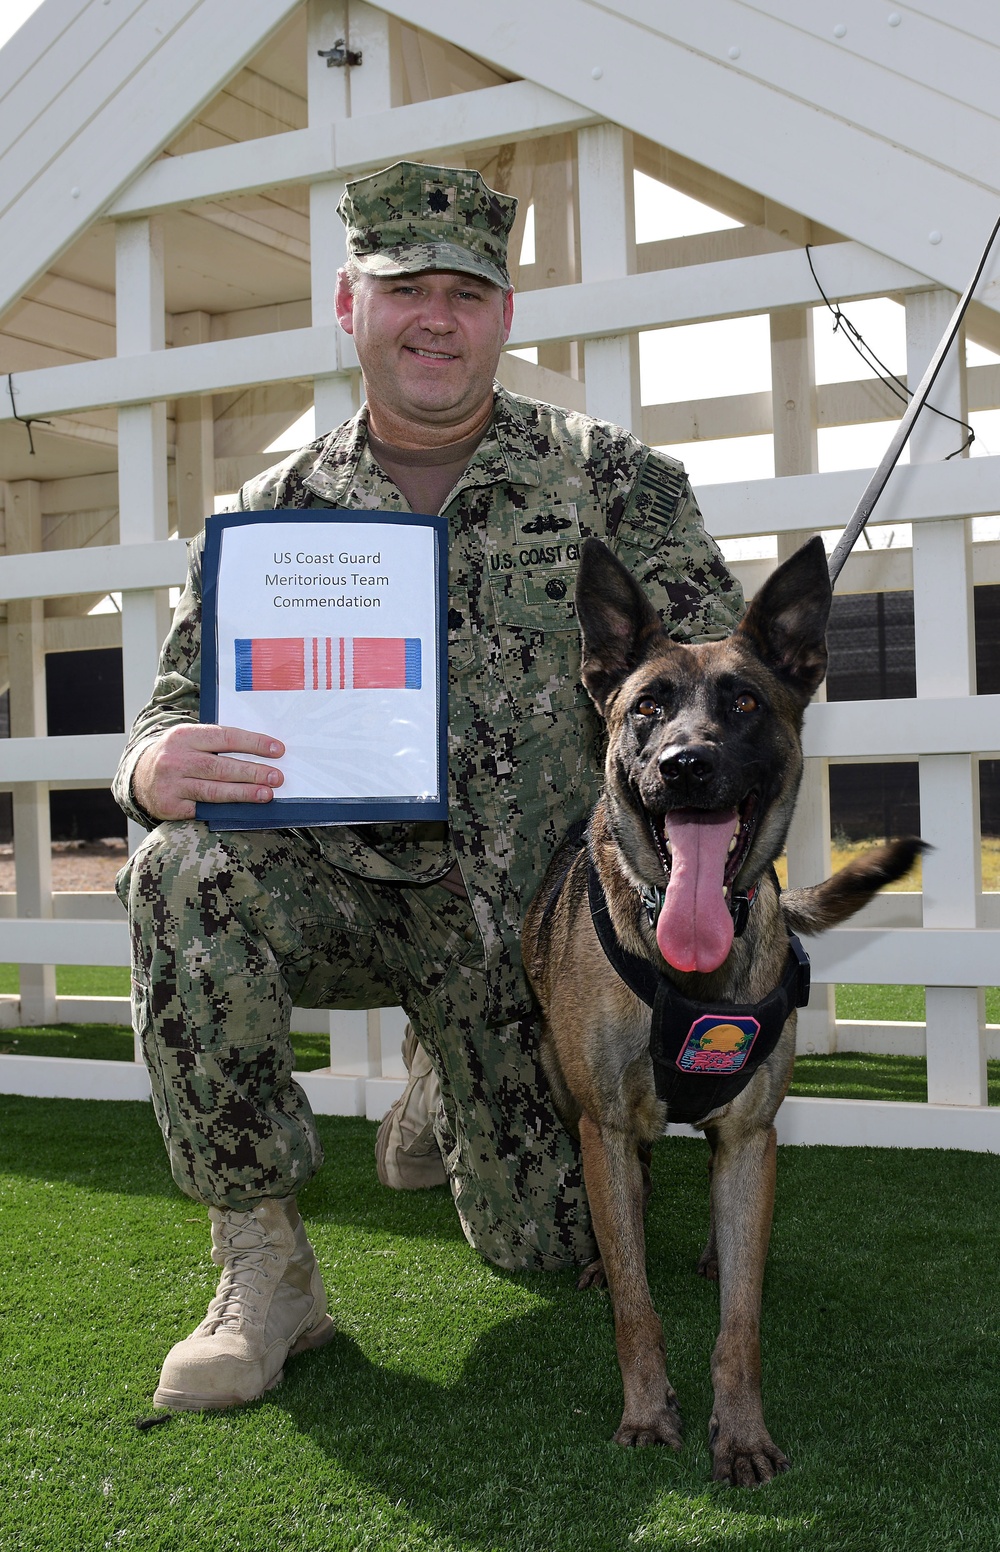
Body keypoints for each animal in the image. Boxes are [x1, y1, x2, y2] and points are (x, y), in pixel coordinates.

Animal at [524, 540, 919, 1483]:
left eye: (743, 703)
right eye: (647, 708)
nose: (685, 765)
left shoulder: (750, 1136)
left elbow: (742, 1318)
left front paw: (739, 1431)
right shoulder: (601, 1125)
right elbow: (637, 1301)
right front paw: (645, 1410)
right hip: (563, 1091)